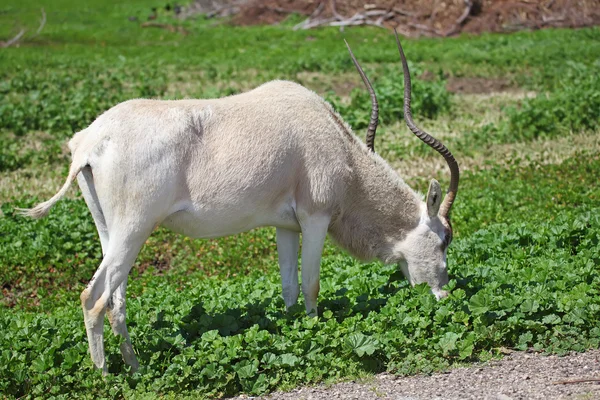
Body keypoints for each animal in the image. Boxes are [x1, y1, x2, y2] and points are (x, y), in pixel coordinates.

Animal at [18, 32, 460, 376]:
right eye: (444, 240)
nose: (444, 294)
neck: (339, 148)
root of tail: (89, 142)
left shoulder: (286, 226)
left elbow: (289, 288)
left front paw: (293, 336)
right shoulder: (315, 218)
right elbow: (312, 284)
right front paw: (315, 332)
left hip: (110, 232)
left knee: (115, 299)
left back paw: (137, 369)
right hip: (134, 229)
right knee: (93, 299)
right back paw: (106, 377)